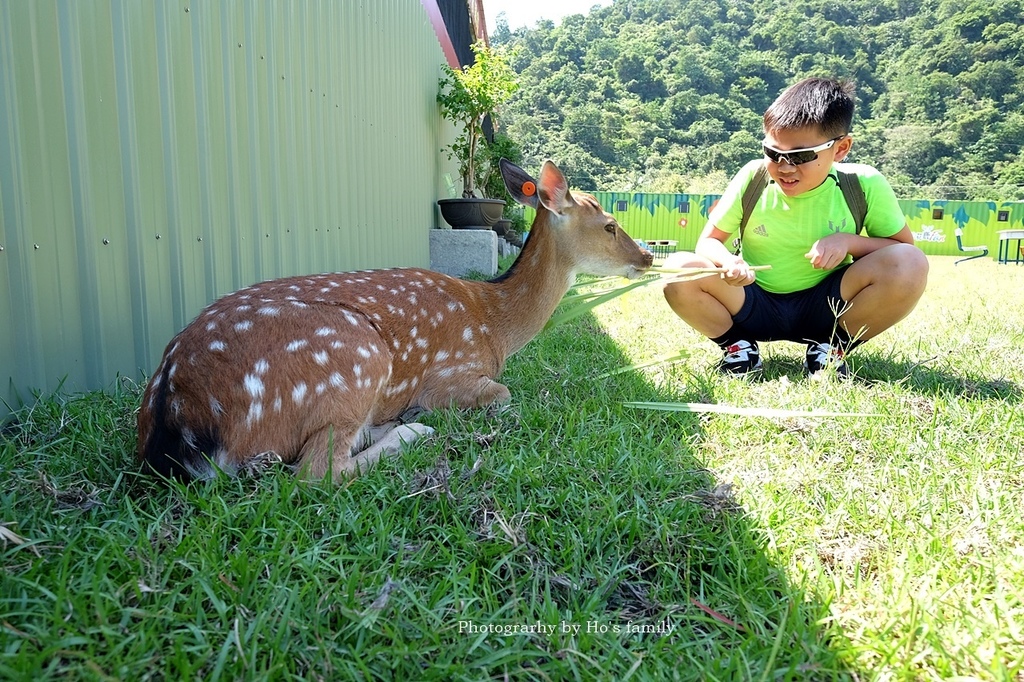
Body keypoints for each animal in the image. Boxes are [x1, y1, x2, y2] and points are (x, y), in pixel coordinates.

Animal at [136, 158, 651, 477]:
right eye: (610, 225)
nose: (647, 256)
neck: (495, 323)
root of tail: (174, 406)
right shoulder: (452, 372)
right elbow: (503, 394)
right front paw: (426, 413)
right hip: (354, 358)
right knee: (317, 471)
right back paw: (412, 428)